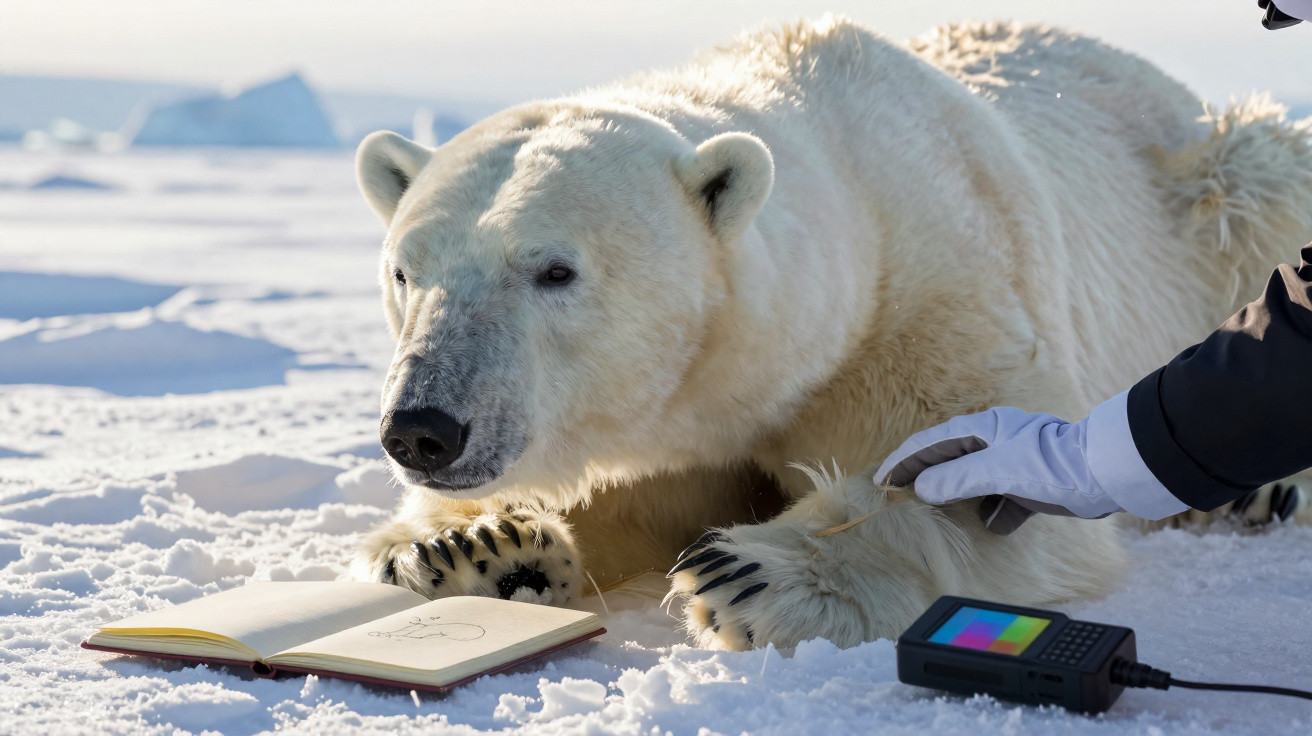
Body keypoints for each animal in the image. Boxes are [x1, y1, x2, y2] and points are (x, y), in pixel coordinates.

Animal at [350, 17, 1312, 650]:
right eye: (406, 271)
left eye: (554, 270)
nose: (423, 430)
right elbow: (642, 494)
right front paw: (472, 545)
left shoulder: (937, 293)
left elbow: (986, 480)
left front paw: (752, 573)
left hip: (1221, 188)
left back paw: (1256, 492)